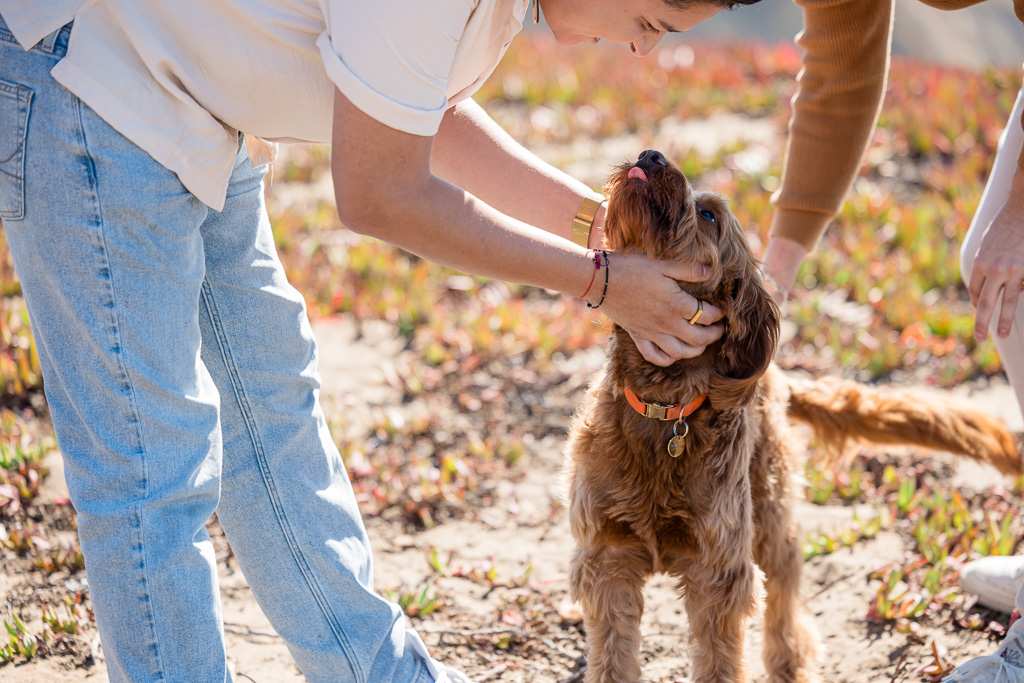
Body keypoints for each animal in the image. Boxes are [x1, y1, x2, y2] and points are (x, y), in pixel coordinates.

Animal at [565, 149, 1019, 683]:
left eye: (709, 216)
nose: (650, 155)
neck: (661, 408)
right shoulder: (608, 555)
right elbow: (613, 654)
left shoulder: (719, 570)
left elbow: (720, 658)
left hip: (768, 511)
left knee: (784, 588)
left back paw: (789, 661)